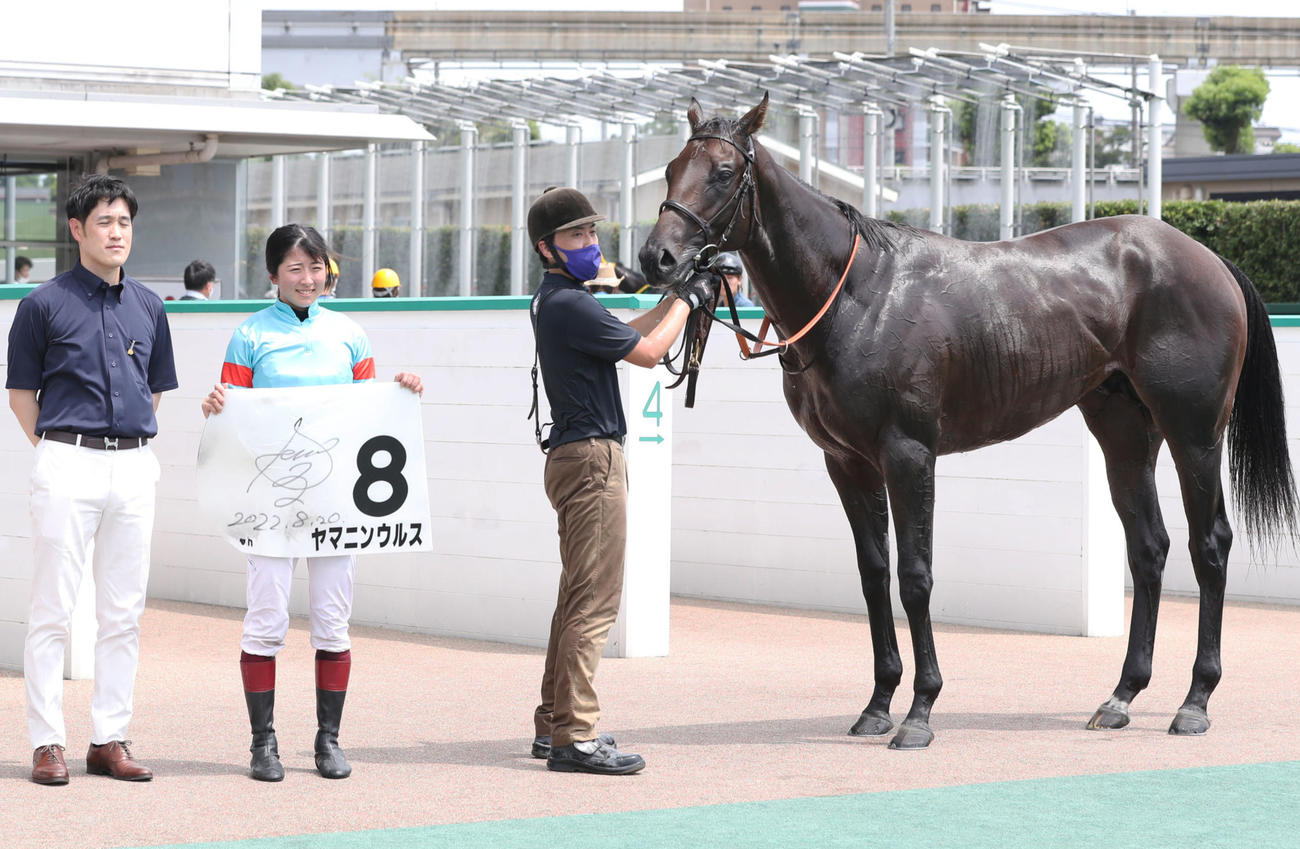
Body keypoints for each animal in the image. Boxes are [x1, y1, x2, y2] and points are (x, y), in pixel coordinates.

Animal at [638, 94, 1298, 750]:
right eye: (671, 168)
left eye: (724, 172)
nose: (656, 257)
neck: (859, 295)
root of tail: (1209, 259)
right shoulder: (847, 463)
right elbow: (874, 576)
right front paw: (878, 704)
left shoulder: (908, 454)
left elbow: (915, 576)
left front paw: (920, 711)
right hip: (1124, 434)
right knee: (1148, 548)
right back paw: (1120, 696)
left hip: (1194, 434)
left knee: (1209, 544)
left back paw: (1195, 701)